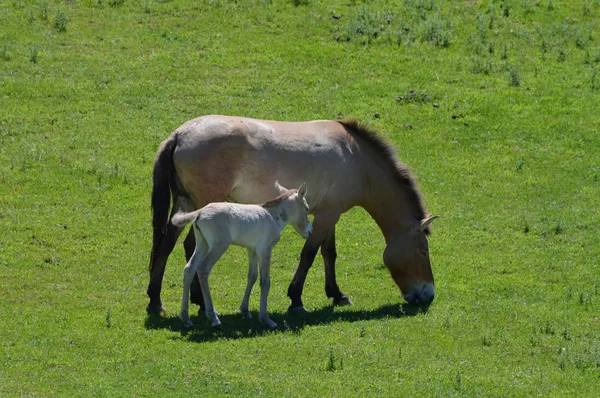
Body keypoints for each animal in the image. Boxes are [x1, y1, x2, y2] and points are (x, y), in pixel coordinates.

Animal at [171, 182, 312, 328]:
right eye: (307, 209)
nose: (310, 231)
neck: (272, 216)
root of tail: (199, 212)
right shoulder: (265, 250)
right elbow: (265, 281)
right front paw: (266, 319)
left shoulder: (252, 250)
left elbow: (252, 276)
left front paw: (245, 310)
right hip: (219, 246)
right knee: (203, 268)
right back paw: (213, 317)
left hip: (202, 244)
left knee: (189, 268)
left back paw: (186, 318)